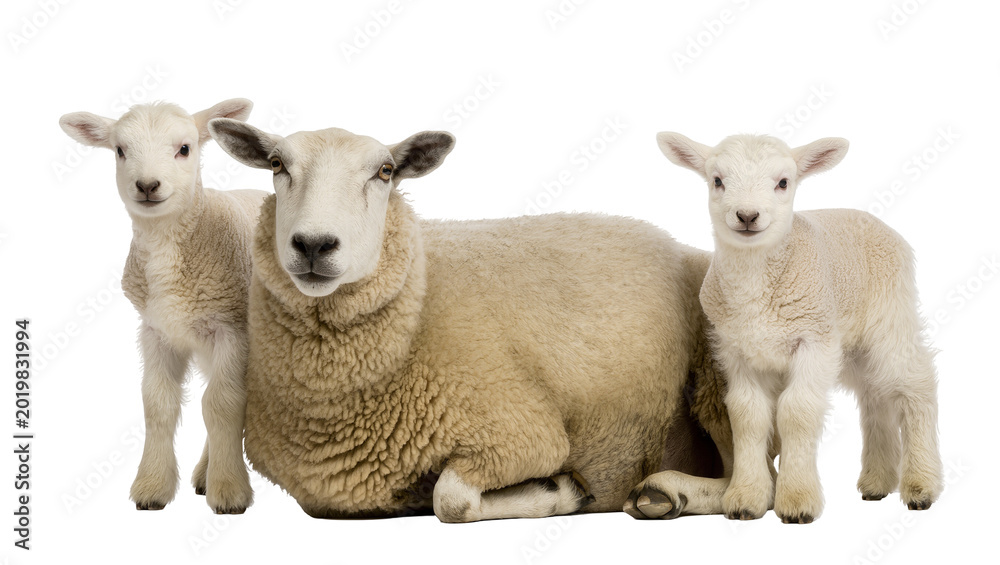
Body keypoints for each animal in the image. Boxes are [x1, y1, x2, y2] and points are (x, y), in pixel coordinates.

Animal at [58, 99, 268, 514]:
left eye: (184, 149)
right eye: (120, 150)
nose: (147, 186)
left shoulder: (231, 329)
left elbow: (222, 404)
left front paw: (229, 490)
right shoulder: (157, 330)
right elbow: (158, 404)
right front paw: (152, 486)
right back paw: (204, 472)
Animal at [207, 118, 733, 522]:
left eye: (385, 171)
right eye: (277, 165)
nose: (314, 244)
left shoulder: (523, 431)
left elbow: (451, 498)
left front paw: (557, 492)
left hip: (714, 377)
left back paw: (665, 491)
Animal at [628, 132, 943, 524]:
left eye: (783, 183)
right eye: (717, 181)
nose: (747, 215)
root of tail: (872, 220)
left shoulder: (813, 341)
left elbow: (796, 412)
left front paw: (797, 501)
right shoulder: (736, 351)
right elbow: (746, 416)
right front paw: (746, 499)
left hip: (890, 319)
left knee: (915, 385)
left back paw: (921, 485)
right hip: (851, 344)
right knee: (875, 396)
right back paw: (876, 482)